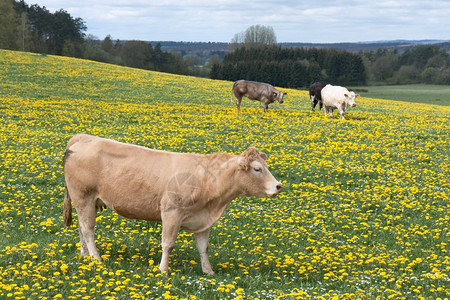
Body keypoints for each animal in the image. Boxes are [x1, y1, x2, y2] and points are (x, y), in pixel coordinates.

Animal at [63, 134, 282, 274]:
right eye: (257, 169)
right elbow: (167, 244)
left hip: (84, 201)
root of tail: (83, 137)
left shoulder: (203, 220)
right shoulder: (171, 213)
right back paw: (96, 258)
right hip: (83, 196)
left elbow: (204, 248)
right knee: (88, 229)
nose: (278, 186)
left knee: (82, 228)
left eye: (266, 166)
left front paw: (208, 271)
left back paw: (84, 256)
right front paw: (163, 270)